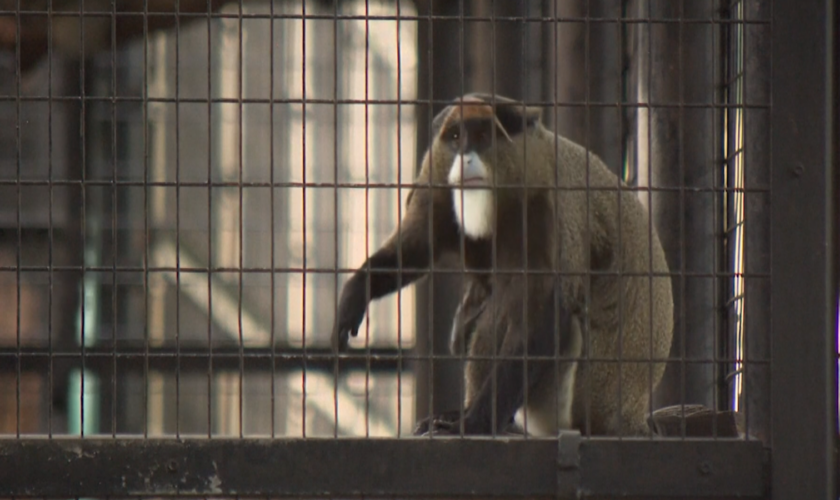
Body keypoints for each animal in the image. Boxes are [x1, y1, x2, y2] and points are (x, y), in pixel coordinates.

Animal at [332, 94, 672, 438]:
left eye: (483, 136)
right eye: (456, 137)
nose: (465, 157)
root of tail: (625, 416)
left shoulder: (549, 206)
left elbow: (545, 316)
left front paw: (474, 423)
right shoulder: (436, 174)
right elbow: (416, 248)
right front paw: (355, 293)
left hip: (562, 400)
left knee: (510, 304)